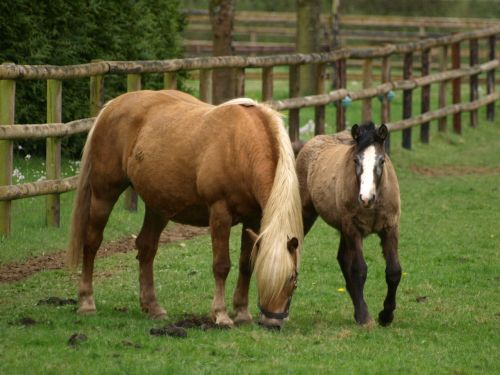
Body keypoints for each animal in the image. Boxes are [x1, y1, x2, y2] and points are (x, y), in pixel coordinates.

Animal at [68, 90, 302, 328]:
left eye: (292, 277)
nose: (273, 323)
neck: (241, 147)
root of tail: (112, 105)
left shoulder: (253, 218)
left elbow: (246, 264)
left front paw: (242, 313)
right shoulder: (220, 213)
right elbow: (221, 265)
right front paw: (221, 314)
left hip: (158, 206)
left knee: (146, 248)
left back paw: (153, 307)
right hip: (103, 195)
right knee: (92, 242)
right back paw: (87, 302)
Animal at [296, 122, 402, 326]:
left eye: (382, 160)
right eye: (356, 160)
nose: (366, 198)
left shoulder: (390, 228)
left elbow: (394, 271)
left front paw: (386, 315)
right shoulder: (354, 230)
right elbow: (359, 269)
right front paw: (365, 318)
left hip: (343, 229)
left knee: (343, 258)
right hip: (308, 214)